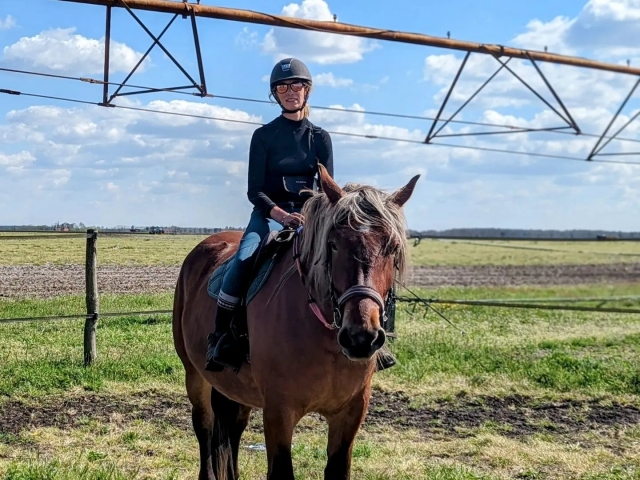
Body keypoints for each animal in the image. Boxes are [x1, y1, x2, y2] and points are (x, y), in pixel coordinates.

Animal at [172, 165, 419, 480]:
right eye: (333, 244)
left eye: (392, 247)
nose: (360, 337)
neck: (324, 340)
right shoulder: (279, 412)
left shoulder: (351, 413)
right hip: (195, 375)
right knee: (204, 429)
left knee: (233, 429)